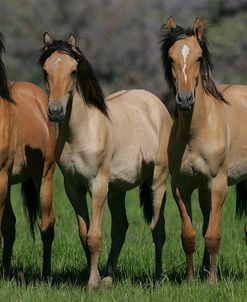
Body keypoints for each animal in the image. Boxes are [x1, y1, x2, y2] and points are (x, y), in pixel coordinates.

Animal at [39, 32, 173, 288]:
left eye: (73, 70)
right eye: (45, 70)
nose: (56, 111)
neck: (82, 132)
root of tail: (157, 105)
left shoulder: (98, 186)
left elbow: (95, 236)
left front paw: (92, 283)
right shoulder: (74, 188)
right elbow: (85, 234)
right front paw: (96, 278)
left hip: (157, 182)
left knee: (158, 229)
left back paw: (159, 277)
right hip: (117, 190)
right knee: (120, 228)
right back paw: (109, 277)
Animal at [160, 17, 247, 284]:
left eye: (199, 57)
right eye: (170, 58)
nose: (185, 99)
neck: (196, 133)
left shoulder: (218, 186)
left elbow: (213, 235)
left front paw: (212, 281)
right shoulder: (182, 187)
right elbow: (189, 236)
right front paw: (191, 280)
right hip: (202, 191)